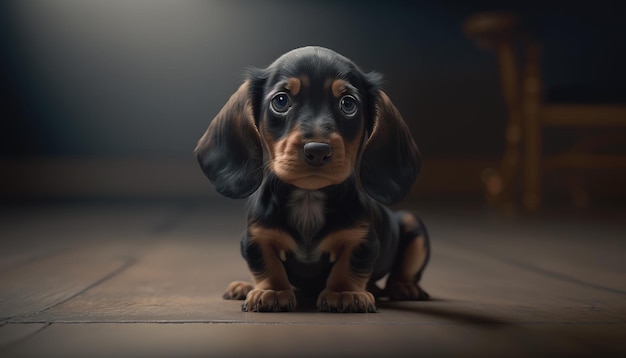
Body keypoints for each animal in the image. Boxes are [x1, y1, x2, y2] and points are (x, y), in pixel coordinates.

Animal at [195, 46, 428, 312]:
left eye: (348, 104)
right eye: (281, 101)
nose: (317, 150)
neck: (308, 198)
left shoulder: (361, 240)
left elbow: (349, 265)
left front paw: (344, 292)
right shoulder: (256, 237)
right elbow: (267, 264)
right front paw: (272, 291)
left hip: (411, 222)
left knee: (401, 274)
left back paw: (403, 287)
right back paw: (243, 286)